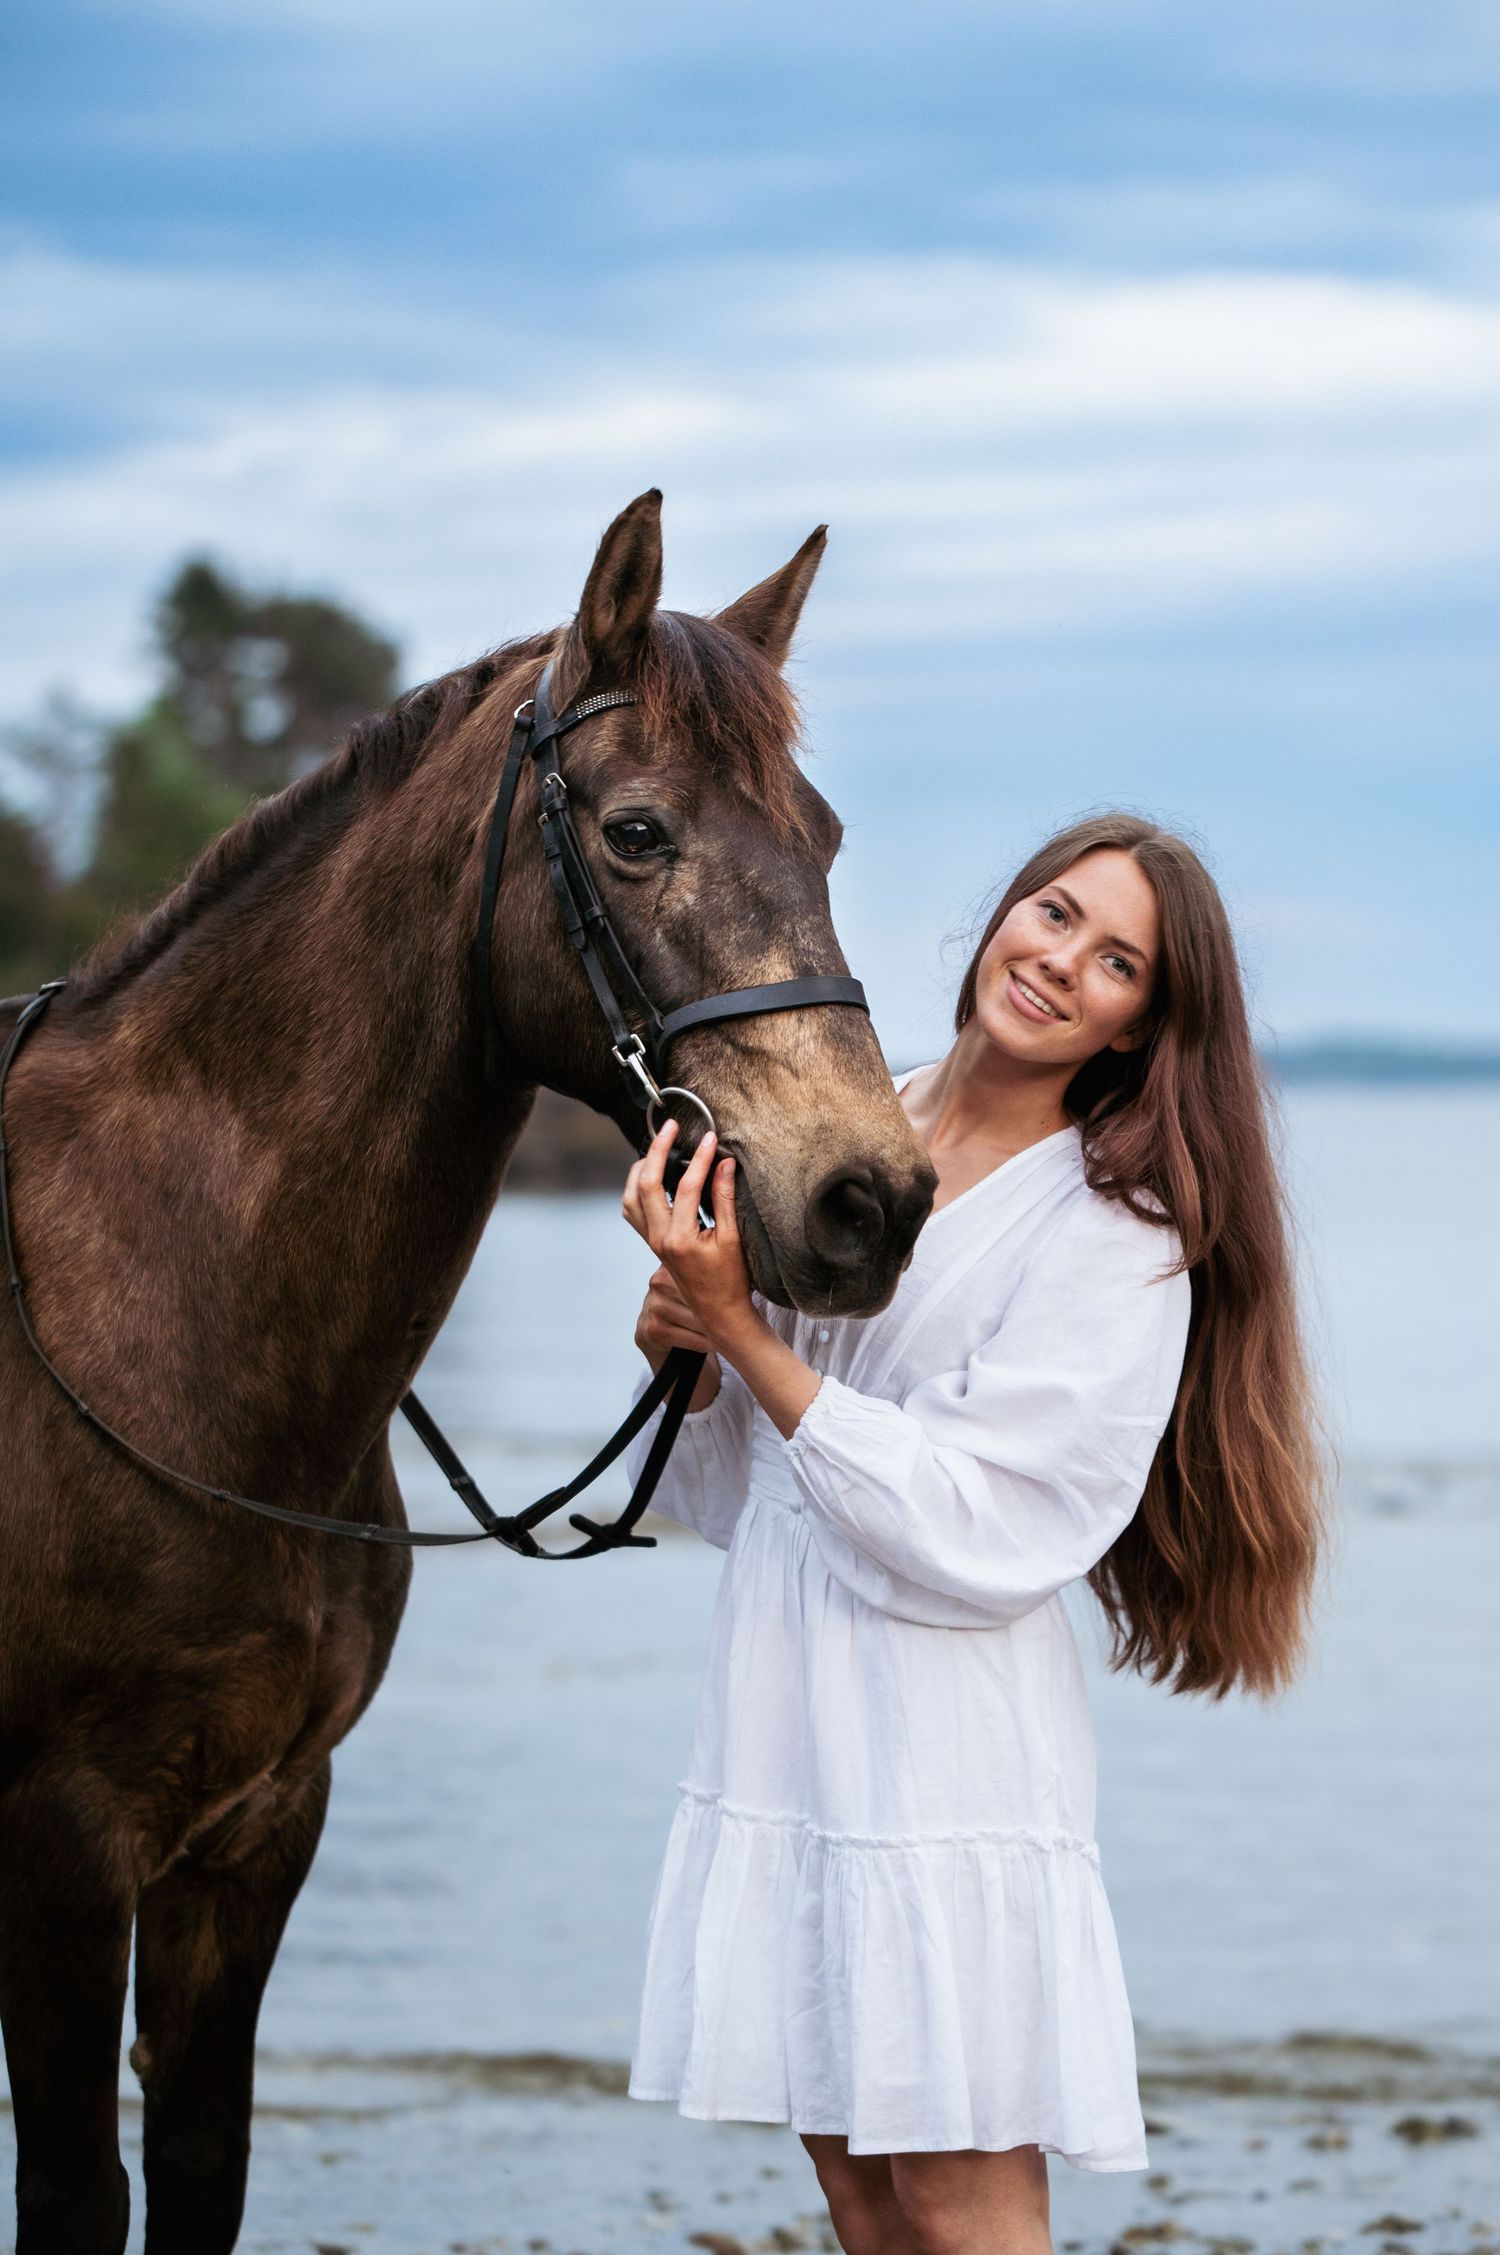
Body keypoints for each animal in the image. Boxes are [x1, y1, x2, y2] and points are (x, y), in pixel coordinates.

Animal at [0, 490, 936, 2255]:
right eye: (635, 831)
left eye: (834, 835)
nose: (875, 1197)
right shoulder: (64, 1850)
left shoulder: (253, 1836)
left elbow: (202, 2165)